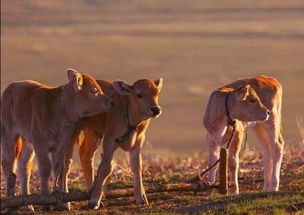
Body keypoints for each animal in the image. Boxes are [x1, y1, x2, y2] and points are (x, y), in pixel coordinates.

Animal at [0, 69, 113, 210]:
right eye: (93, 91)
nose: (111, 102)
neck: (59, 108)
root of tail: (12, 87)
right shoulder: (40, 142)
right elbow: (45, 168)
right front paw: (45, 200)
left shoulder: (62, 143)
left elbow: (59, 167)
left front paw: (58, 194)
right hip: (8, 134)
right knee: (8, 165)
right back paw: (9, 201)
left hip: (28, 142)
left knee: (23, 166)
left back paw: (27, 204)